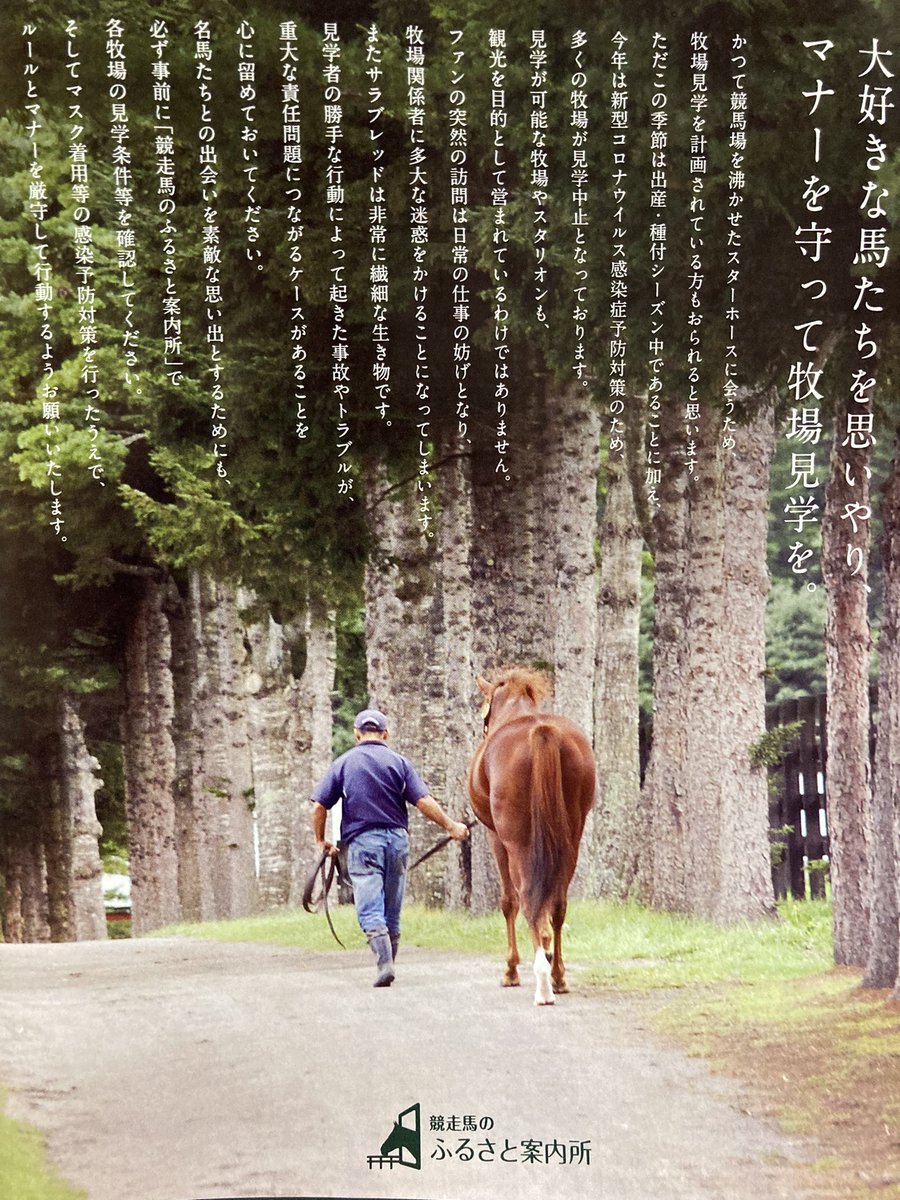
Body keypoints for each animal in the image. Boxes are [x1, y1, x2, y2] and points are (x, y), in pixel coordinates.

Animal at [467, 667, 596, 1006]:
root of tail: (541, 730)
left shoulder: (495, 837)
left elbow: (507, 901)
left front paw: (510, 970)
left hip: (516, 842)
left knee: (525, 899)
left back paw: (542, 982)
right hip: (571, 839)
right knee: (558, 902)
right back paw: (558, 976)